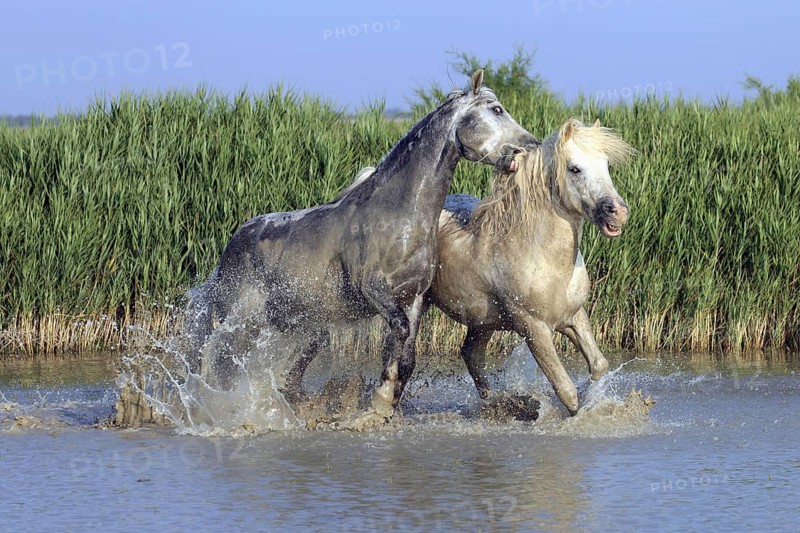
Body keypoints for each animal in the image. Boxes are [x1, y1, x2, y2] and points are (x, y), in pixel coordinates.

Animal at [185, 70, 537, 422]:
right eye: (496, 109)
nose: (531, 144)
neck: (397, 217)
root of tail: (231, 246)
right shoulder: (371, 288)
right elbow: (399, 331)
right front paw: (381, 397)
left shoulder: (413, 297)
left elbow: (406, 356)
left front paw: (386, 404)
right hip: (245, 318)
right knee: (221, 359)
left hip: (291, 321)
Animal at [428, 118, 634, 415]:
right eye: (574, 168)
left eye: (605, 164)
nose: (617, 212)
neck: (546, 261)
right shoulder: (534, 329)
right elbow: (565, 390)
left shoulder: (573, 317)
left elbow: (599, 365)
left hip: (482, 322)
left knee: (471, 354)